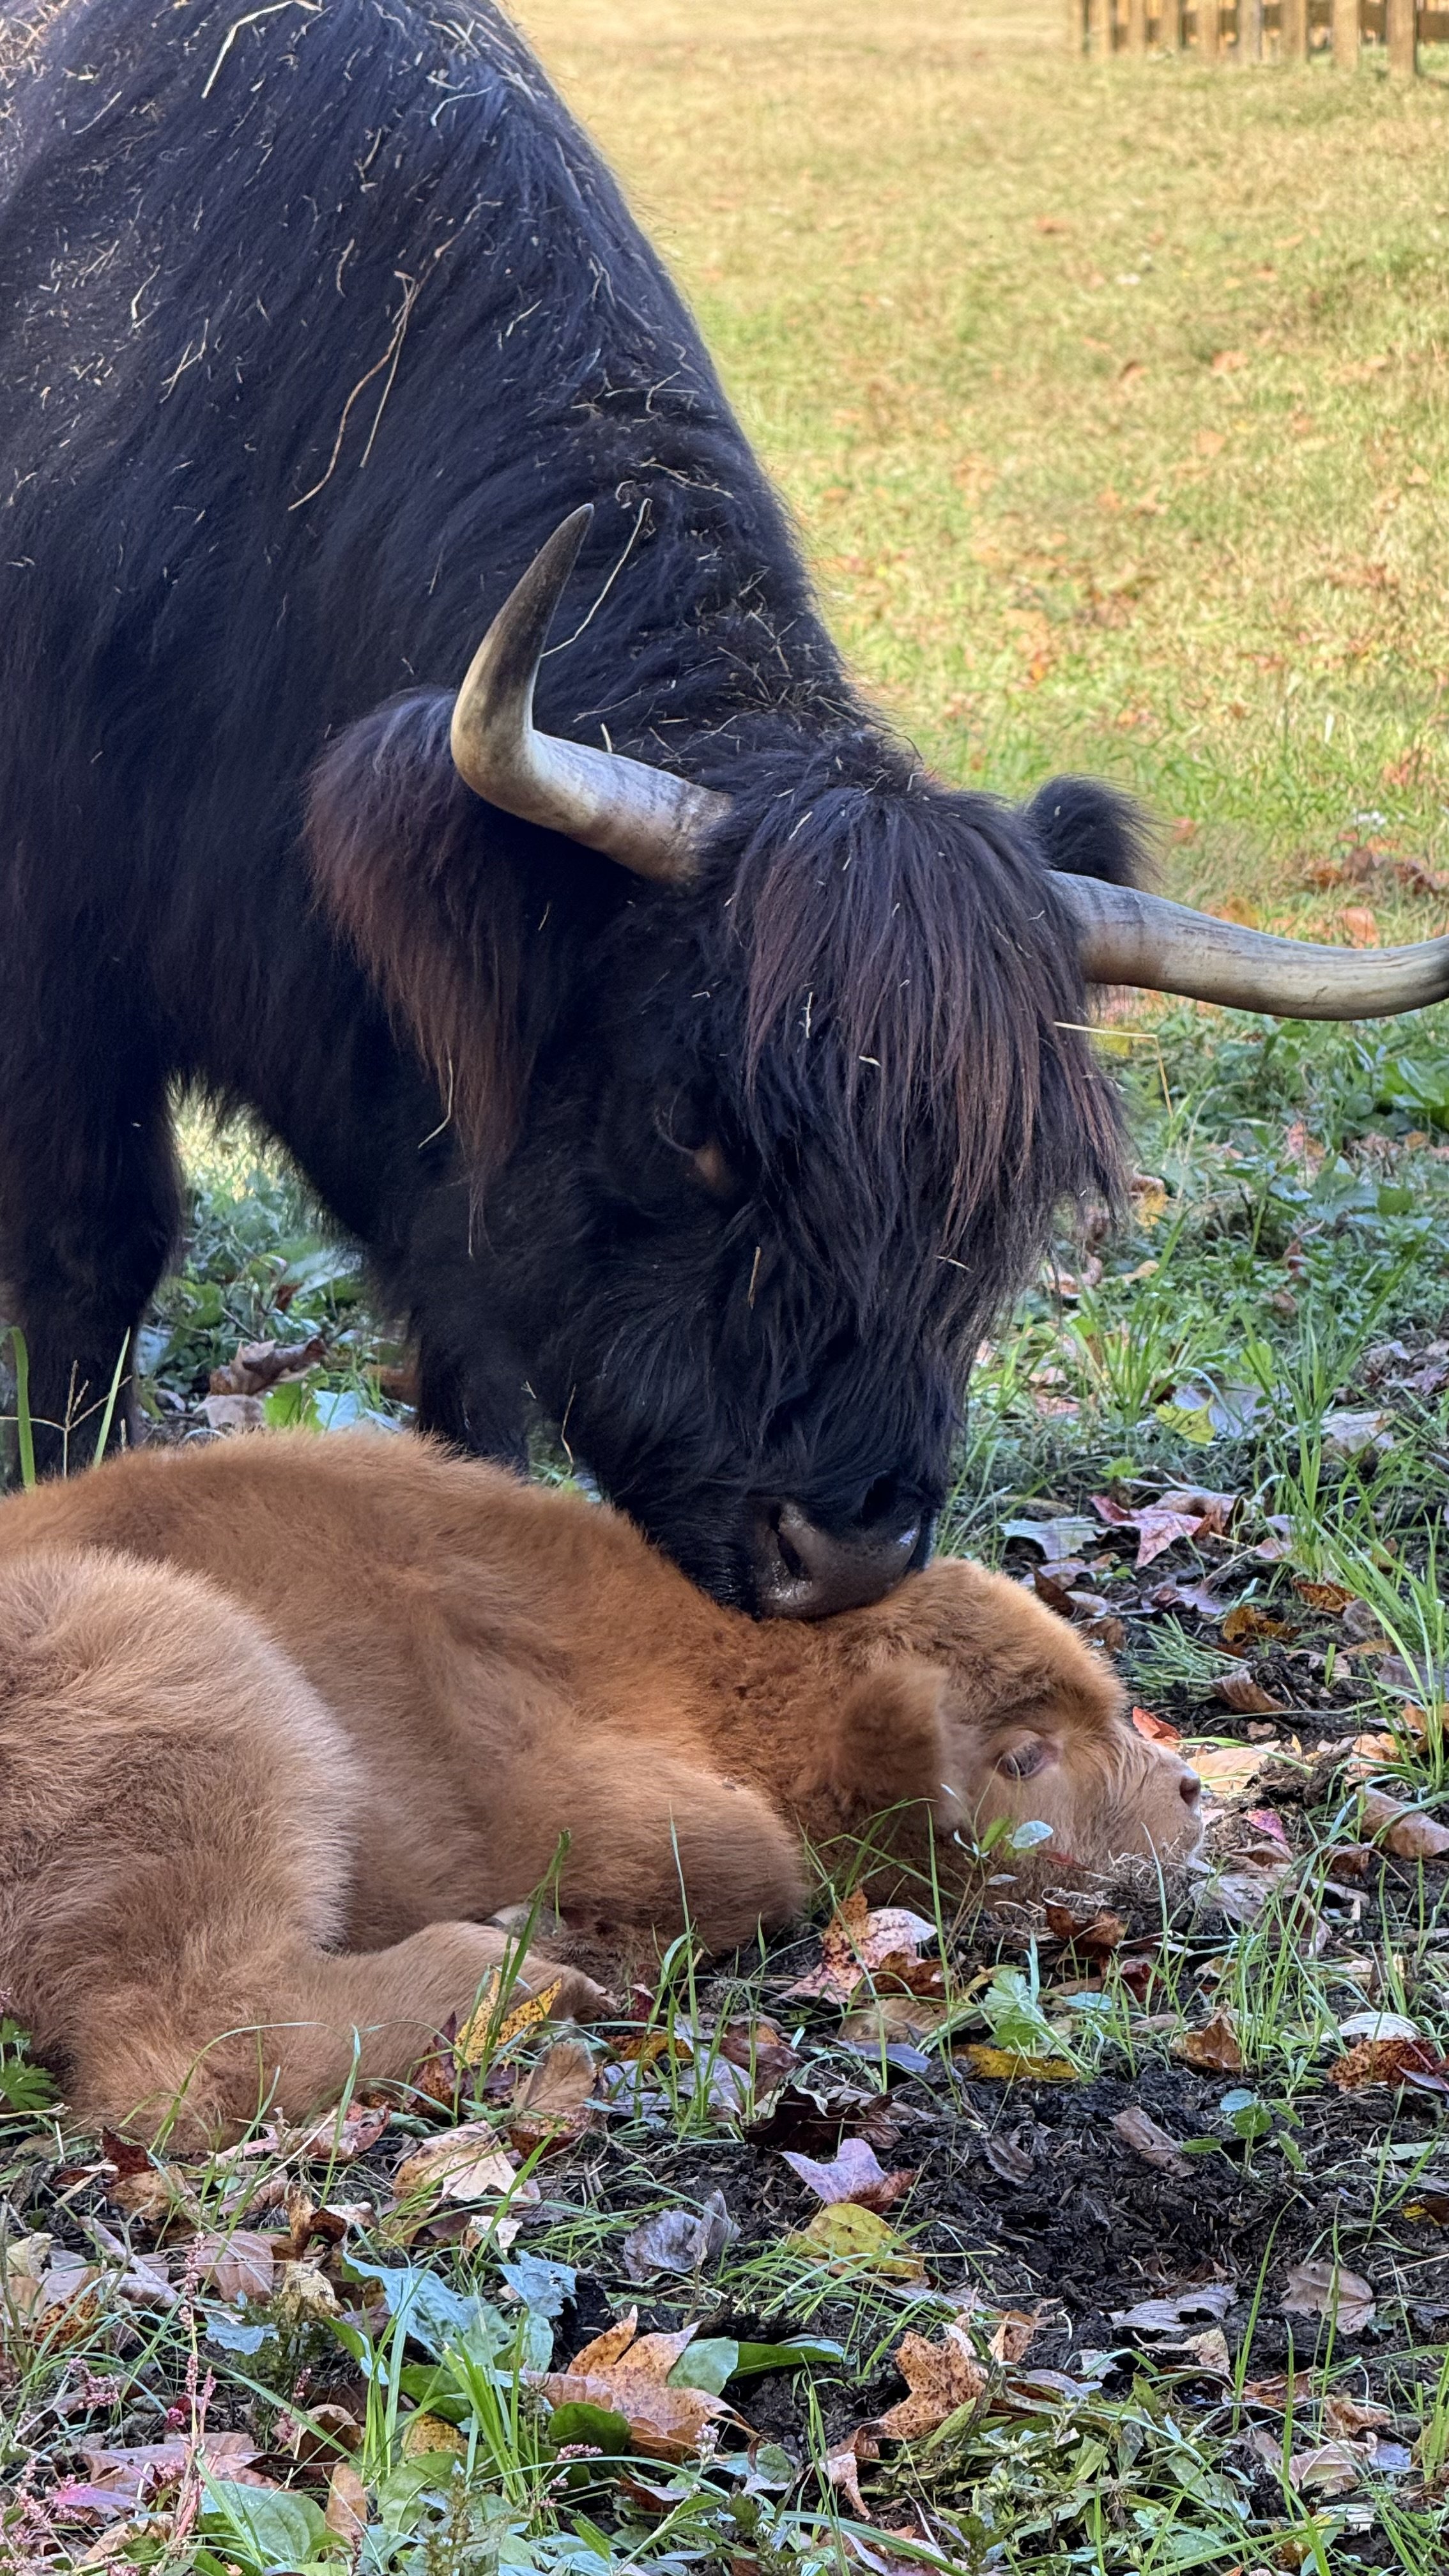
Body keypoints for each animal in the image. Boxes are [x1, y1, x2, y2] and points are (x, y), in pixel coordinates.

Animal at [0, 1429, 1203, 2138]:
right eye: (1023, 1756)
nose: (1190, 1790)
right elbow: (753, 1858)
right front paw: (566, 1928)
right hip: (186, 1668)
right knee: (182, 2055)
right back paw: (535, 1974)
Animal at [1, 1, 1446, 1613]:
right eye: (688, 1118)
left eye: (1004, 1193)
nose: (846, 1546)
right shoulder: (60, 985)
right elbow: (93, 1264)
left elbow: (470, 1343)